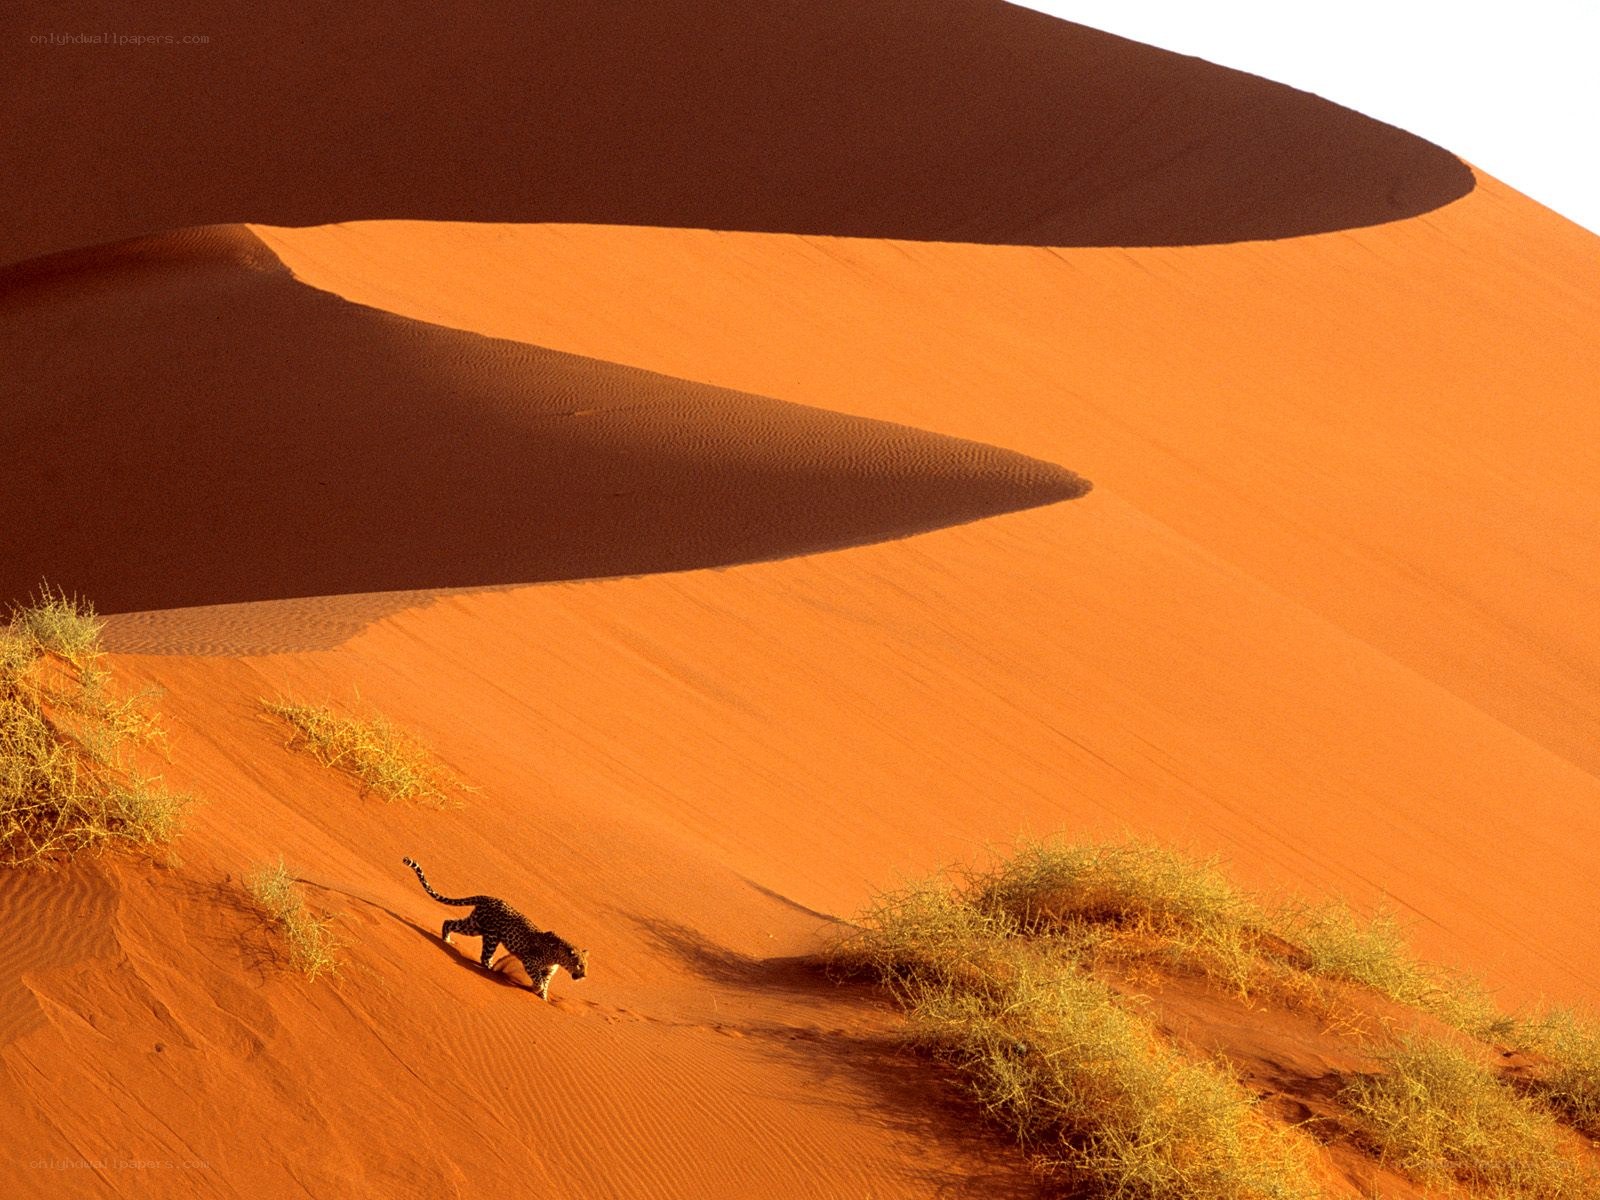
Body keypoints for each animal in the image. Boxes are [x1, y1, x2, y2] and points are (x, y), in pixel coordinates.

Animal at [403, 857, 588, 1000]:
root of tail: (488, 897)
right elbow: (539, 980)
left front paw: (543, 996)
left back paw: (447, 940)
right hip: (490, 935)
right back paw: (490, 969)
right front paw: (537, 988)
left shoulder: (548, 971)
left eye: (585, 965)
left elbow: (546, 984)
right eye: (579, 965)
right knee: (484, 956)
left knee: (449, 922)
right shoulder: (530, 961)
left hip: (475, 926)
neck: (558, 956)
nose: (584, 976)